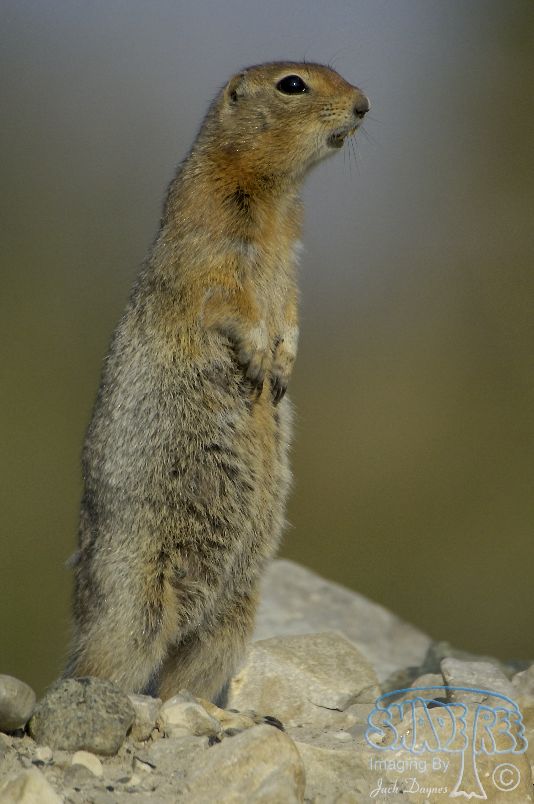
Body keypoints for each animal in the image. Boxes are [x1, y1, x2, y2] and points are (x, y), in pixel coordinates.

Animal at [64, 61, 369, 702]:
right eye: (293, 84)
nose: (364, 105)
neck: (274, 193)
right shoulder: (212, 229)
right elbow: (228, 294)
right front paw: (257, 358)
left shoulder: (290, 257)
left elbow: (290, 305)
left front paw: (283, 364)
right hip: (135, 596)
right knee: (109, 657)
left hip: (235, 612)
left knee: (187, 671)